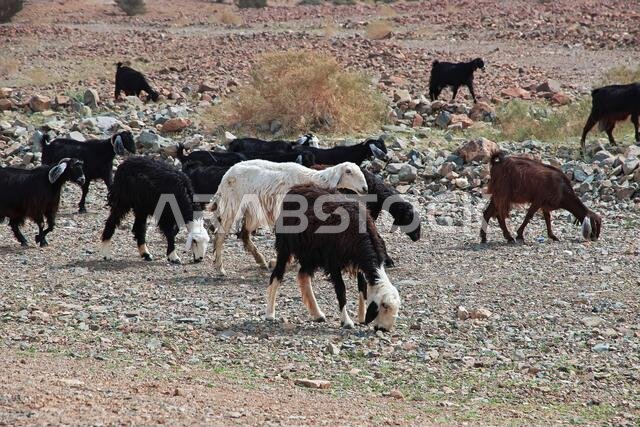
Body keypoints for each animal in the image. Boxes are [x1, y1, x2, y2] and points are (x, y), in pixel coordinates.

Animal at [207, 160, 368, 275]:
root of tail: (226, 175)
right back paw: (220, 268)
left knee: (244, 234)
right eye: (348, 171)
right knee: (220, 235)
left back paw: (261, 260)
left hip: (252, 210)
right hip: (232, 205)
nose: (365, 188)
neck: (312, 179)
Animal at [266, 184, 401, 331]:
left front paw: (362, 317)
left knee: (303, 276)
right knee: (277, 275)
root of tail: (297, 188)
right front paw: (346, 321)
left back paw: (317, 314)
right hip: (286, 245)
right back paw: (270, 314)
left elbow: (362, 288)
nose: (384, 329)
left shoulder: (358, 263)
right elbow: (341, 290)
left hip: (311, 254)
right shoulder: (333, 262)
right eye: (384, 306)